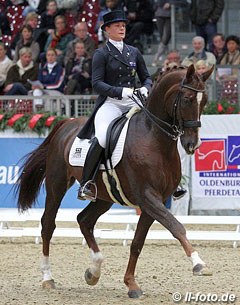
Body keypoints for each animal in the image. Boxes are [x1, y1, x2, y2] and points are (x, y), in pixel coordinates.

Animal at [15, 64, 213, 296]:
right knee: (48, 225)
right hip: (57, 184)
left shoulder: (155, 202)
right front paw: (198, 263)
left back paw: (93, 271)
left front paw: (131, 284)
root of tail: (65, 123)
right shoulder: (147, 197)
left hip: (104, 196)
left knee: (84, 220)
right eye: (188, 99)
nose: (192, 145)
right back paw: (48, 277)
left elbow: (137, 243)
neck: (154, 139)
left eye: (205, 100)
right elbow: (176, 226)